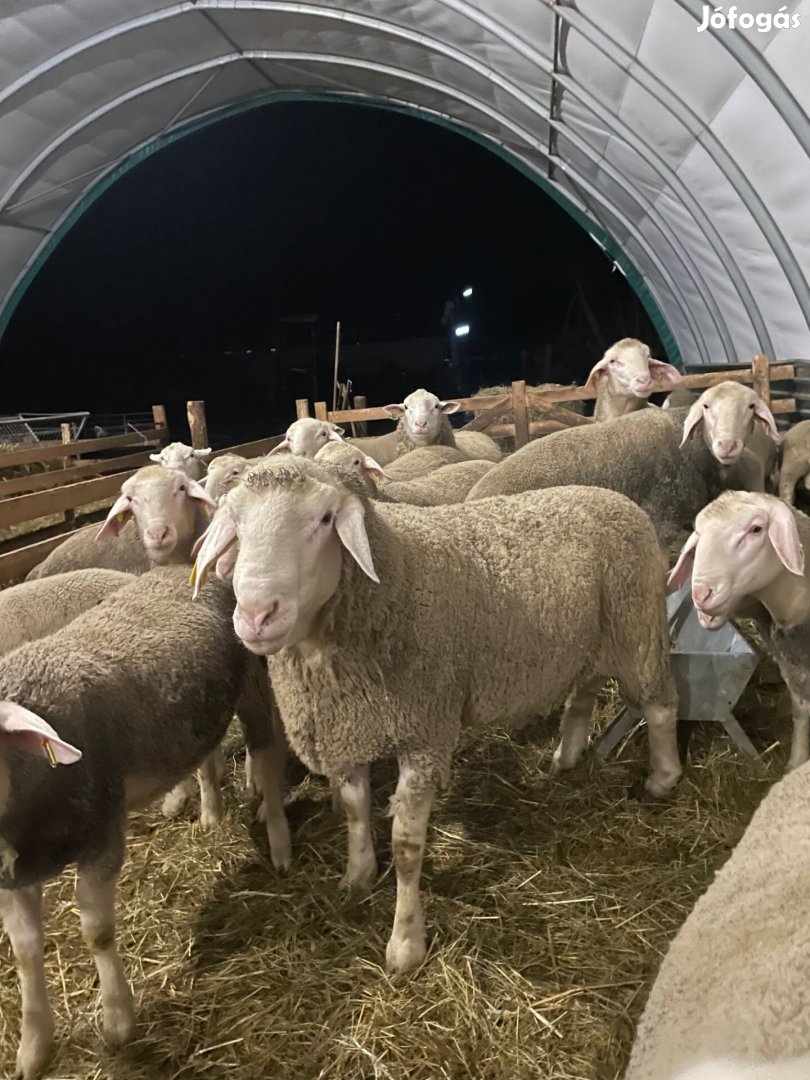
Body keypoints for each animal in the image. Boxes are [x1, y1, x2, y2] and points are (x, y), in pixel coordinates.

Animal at [193, 455, 682, 980]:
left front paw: (405, 945)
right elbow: (356, 811)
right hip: (591, 639)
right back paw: (566, 756)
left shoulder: (424, 734)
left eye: (324, 519)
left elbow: (407, 848)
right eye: (235, 521)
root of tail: (611, 497)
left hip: (637, 625)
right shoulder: (349, 727)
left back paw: (663, 778)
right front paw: (357, 877)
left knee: (660, 705)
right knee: (585, 691)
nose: (256, 615)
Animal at [665, 490, 810, 768]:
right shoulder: (794, 669)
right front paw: (796, 764)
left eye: (756, 529)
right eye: (698, 533)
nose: (700, 594)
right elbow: (802, 713)